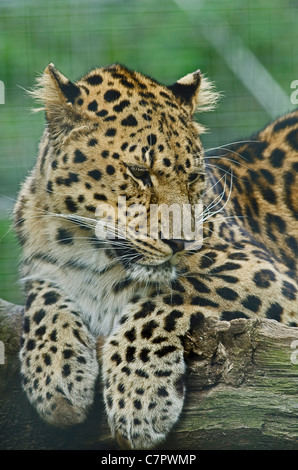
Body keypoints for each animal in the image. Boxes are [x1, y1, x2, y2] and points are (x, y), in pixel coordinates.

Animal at [14, 62, 298, 448]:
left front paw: (139, 398)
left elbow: (171, 294)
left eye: (193, 177)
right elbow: (43, 298)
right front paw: (55, 373)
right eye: (138, 173)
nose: (181, 242)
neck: (90, 252)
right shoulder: (41, 270)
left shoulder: (269, 278)